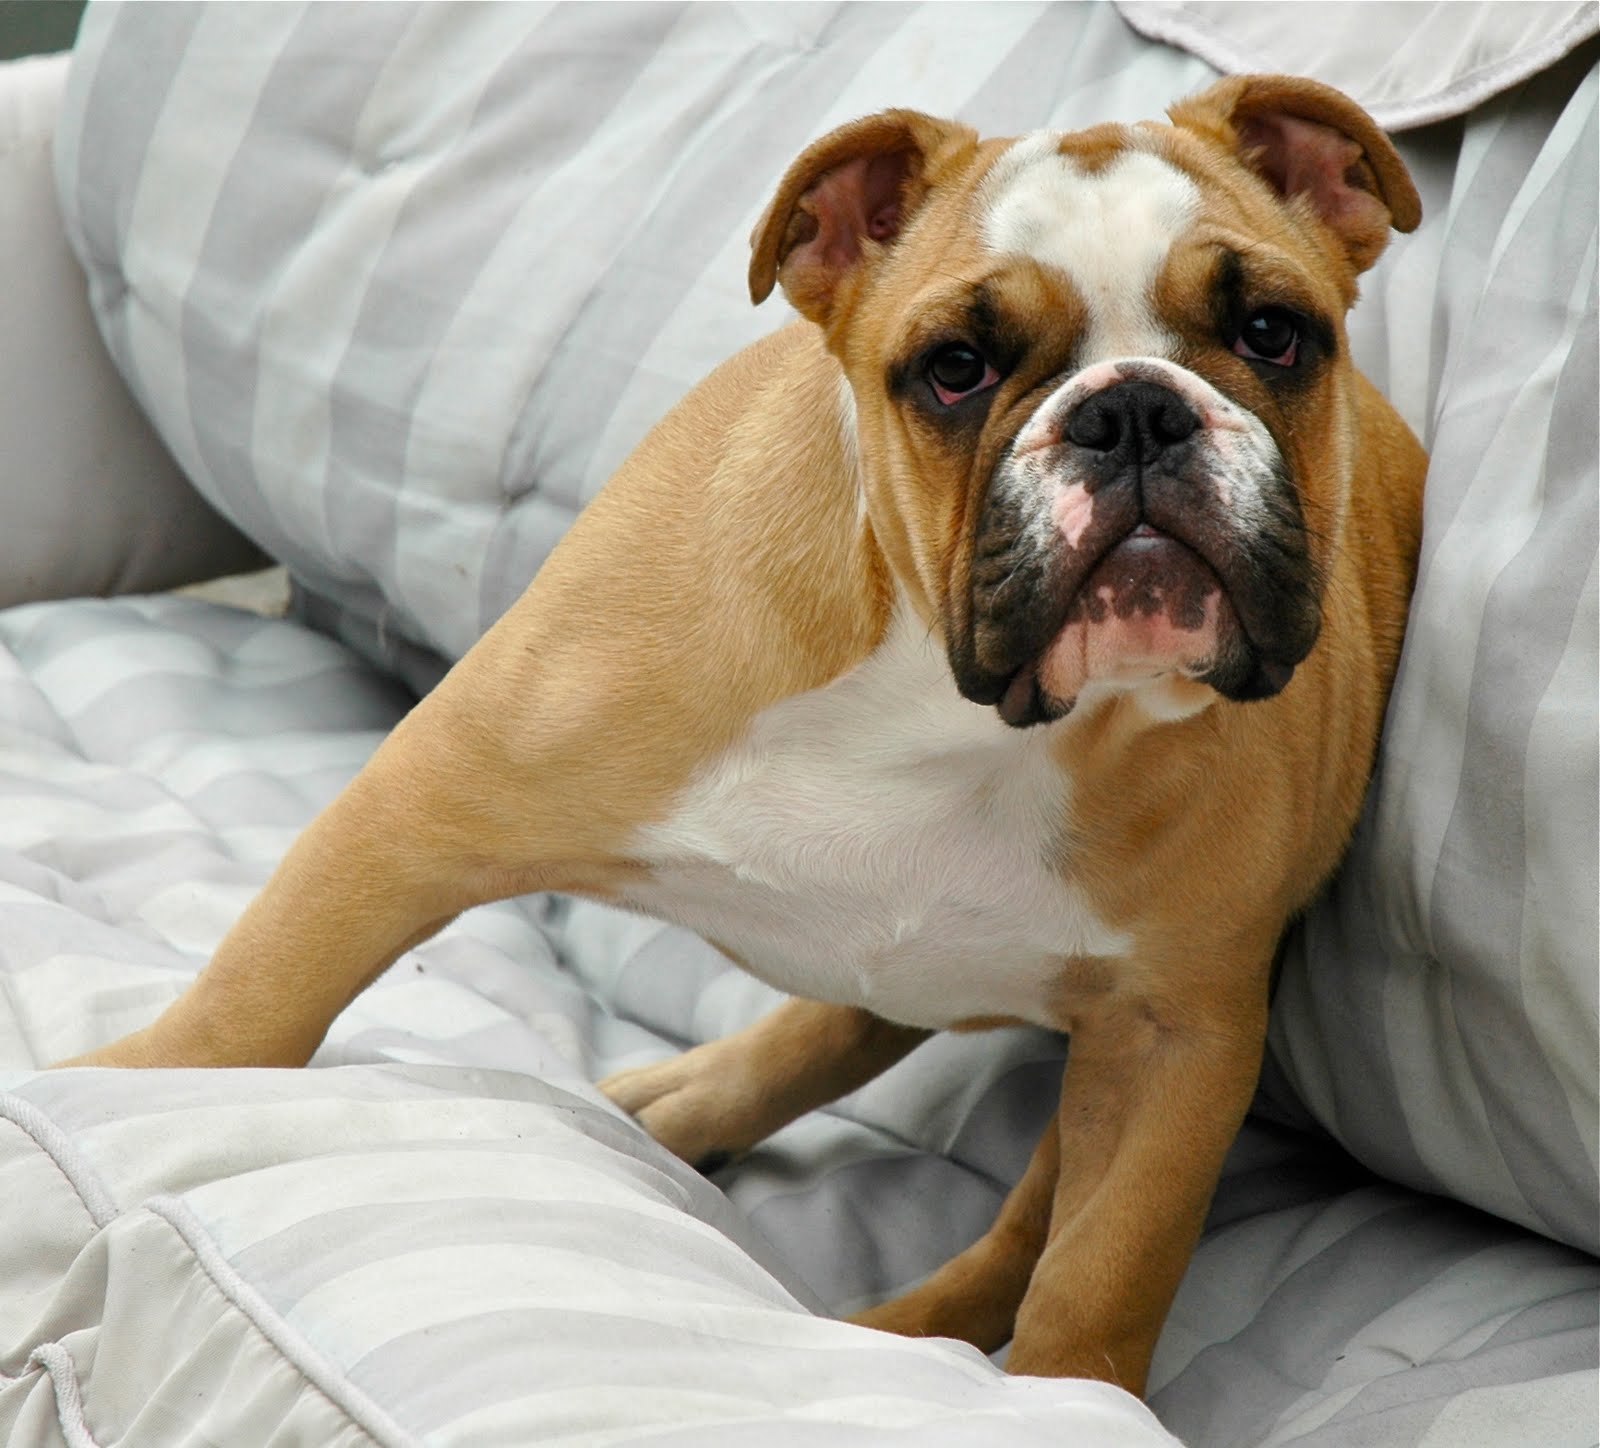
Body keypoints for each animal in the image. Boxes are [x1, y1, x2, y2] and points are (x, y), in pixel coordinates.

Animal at [64, 74, 1427, 1395]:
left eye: (1271, 335)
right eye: (955, 367)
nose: (1134, 410)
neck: (955, 706)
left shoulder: (1173, 1036)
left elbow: (1102, 1268)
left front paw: (1063, 1395)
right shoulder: (432, 797)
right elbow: (260, 994)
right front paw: (131, 1086)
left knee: (993, 1200)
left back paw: (894, 1319)